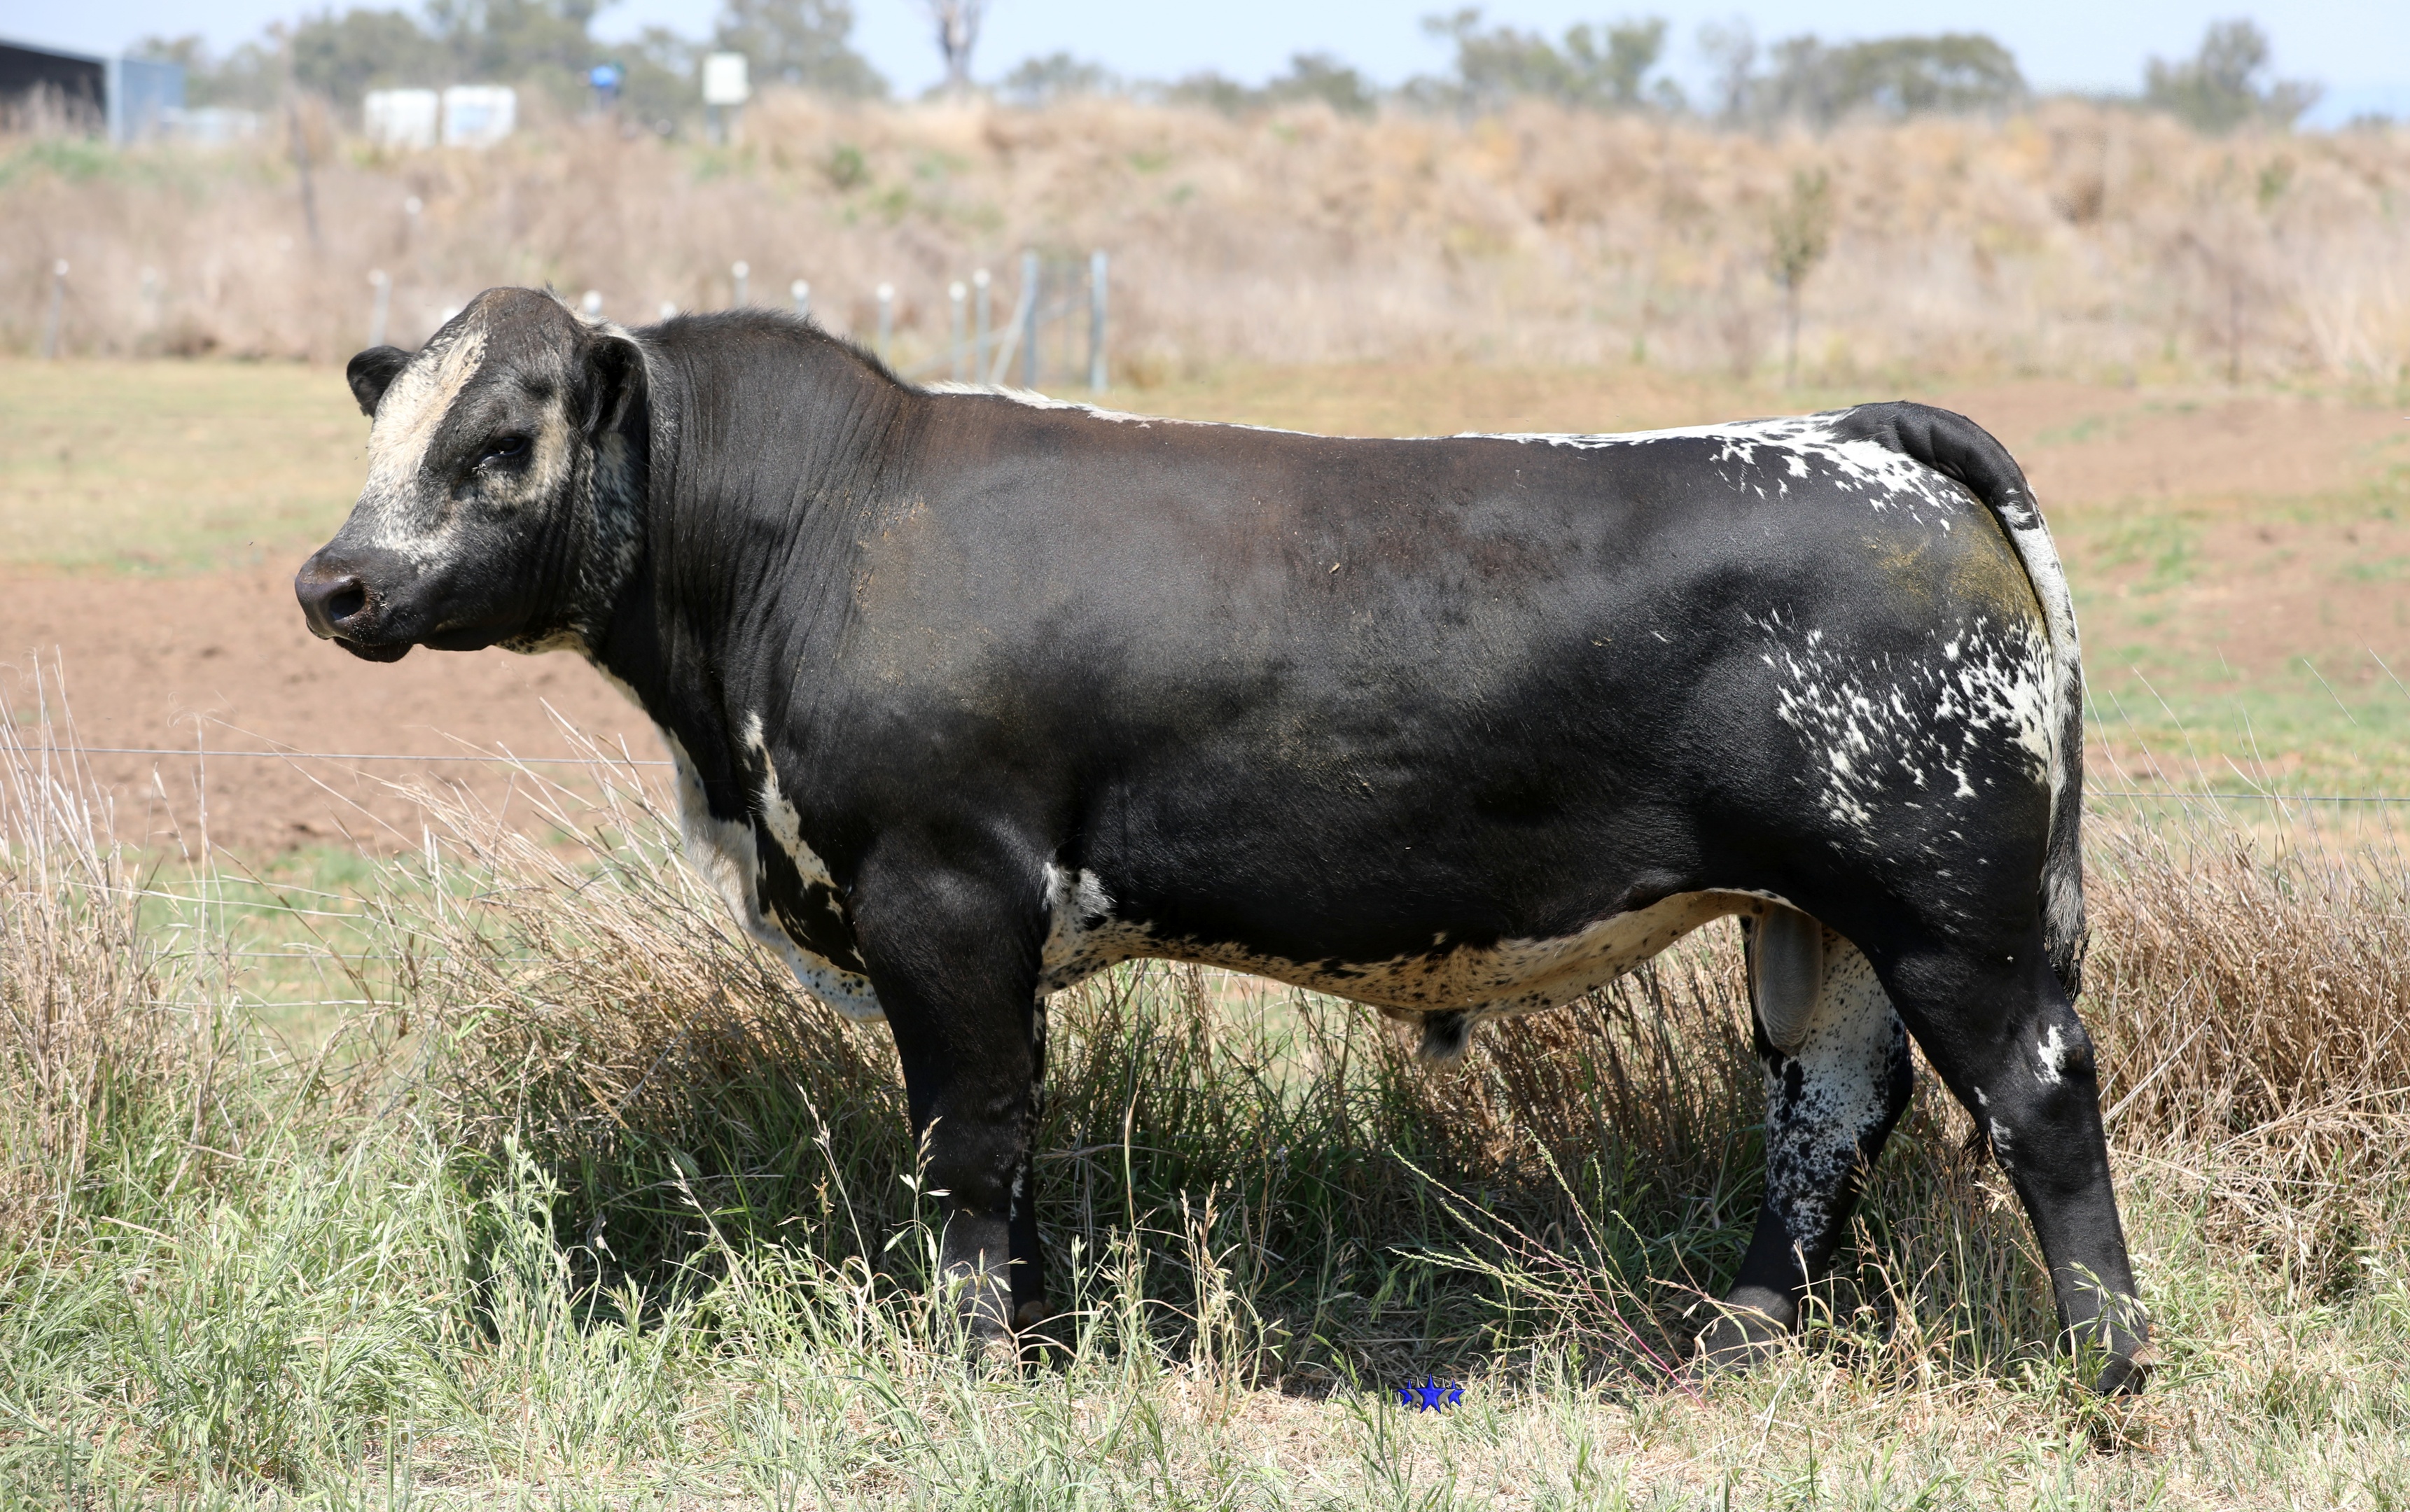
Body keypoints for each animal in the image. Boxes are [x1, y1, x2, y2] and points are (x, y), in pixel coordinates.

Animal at [295, 287, 2149, 1393]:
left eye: (500, 445)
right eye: (382, 431)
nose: (336, 583)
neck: (815, 528)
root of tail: (1851, 438)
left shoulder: (941, 894)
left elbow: (964, 1148)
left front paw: (970, 1365)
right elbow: (1013, 1147)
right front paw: (1034, 1339)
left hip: (1949, 908)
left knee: (2038, 1099)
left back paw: (2106, 1367)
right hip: (1820, 919)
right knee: (1827, 1110)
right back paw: (1737, 1332)